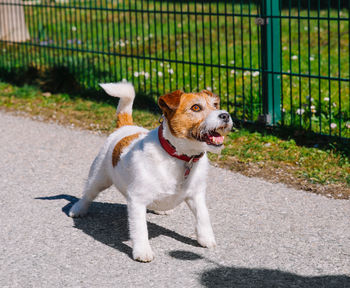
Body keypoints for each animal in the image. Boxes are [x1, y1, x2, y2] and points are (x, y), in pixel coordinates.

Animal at [69, 82, 232, 262]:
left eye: (215, 105)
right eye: (196, 107)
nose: (225, 115)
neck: (179, 156)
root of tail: (126, 126)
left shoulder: (196, 195)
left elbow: (203, 217)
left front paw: (206, 239)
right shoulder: (137, 201)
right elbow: (140, 229)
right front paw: (142, 251)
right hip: (99, 177)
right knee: (88, 194)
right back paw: (78, 209)